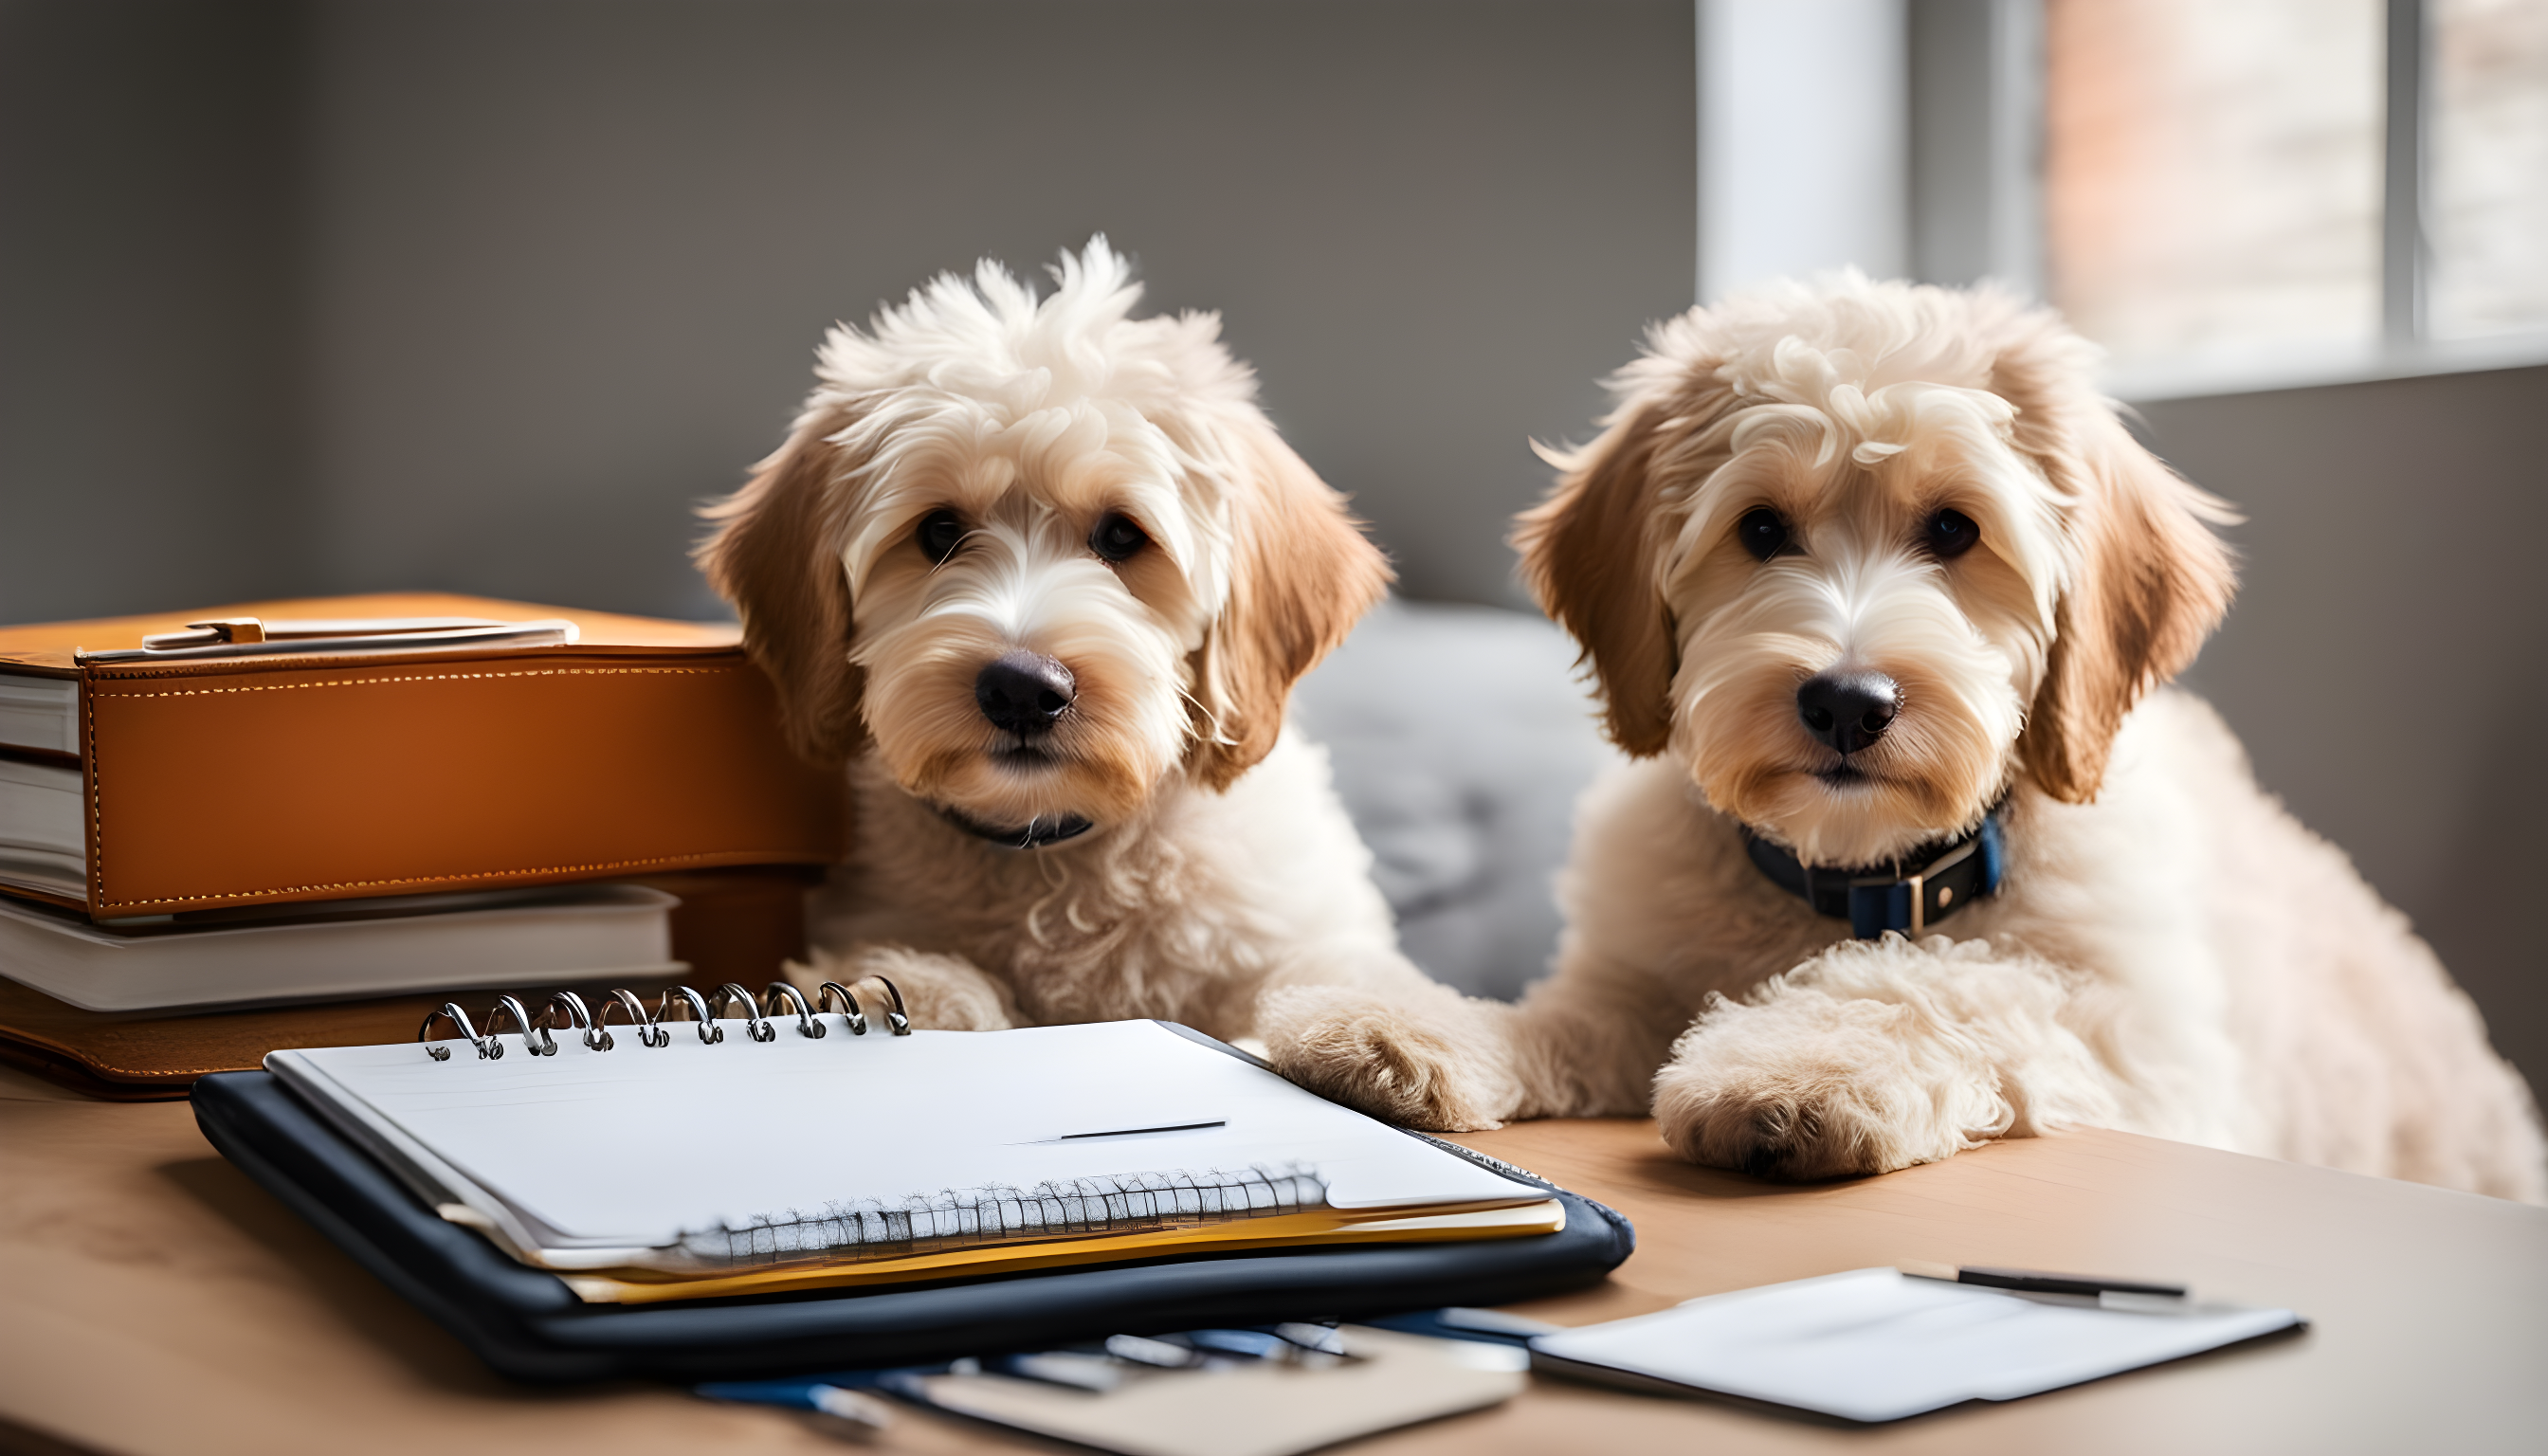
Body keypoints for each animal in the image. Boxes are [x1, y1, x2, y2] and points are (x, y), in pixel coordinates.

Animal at [698, 245, 1457, 1050]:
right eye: (939, 531)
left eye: (1122, 534)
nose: (1022, 689)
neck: (1055, 852)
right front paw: (914, 995)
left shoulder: (1307, 929)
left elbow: (1349, 980)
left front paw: (1383, 1037)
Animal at [1268, 276, 2548, 1209]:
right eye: (1761, 529)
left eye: (1954, 530)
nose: (1848, 702)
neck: (1850, 881)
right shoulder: (1632, 983)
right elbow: (1559, 1017)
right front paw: (1408, 1026)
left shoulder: (2149, 1051)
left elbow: (1950, 984)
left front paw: (1797, 1067)